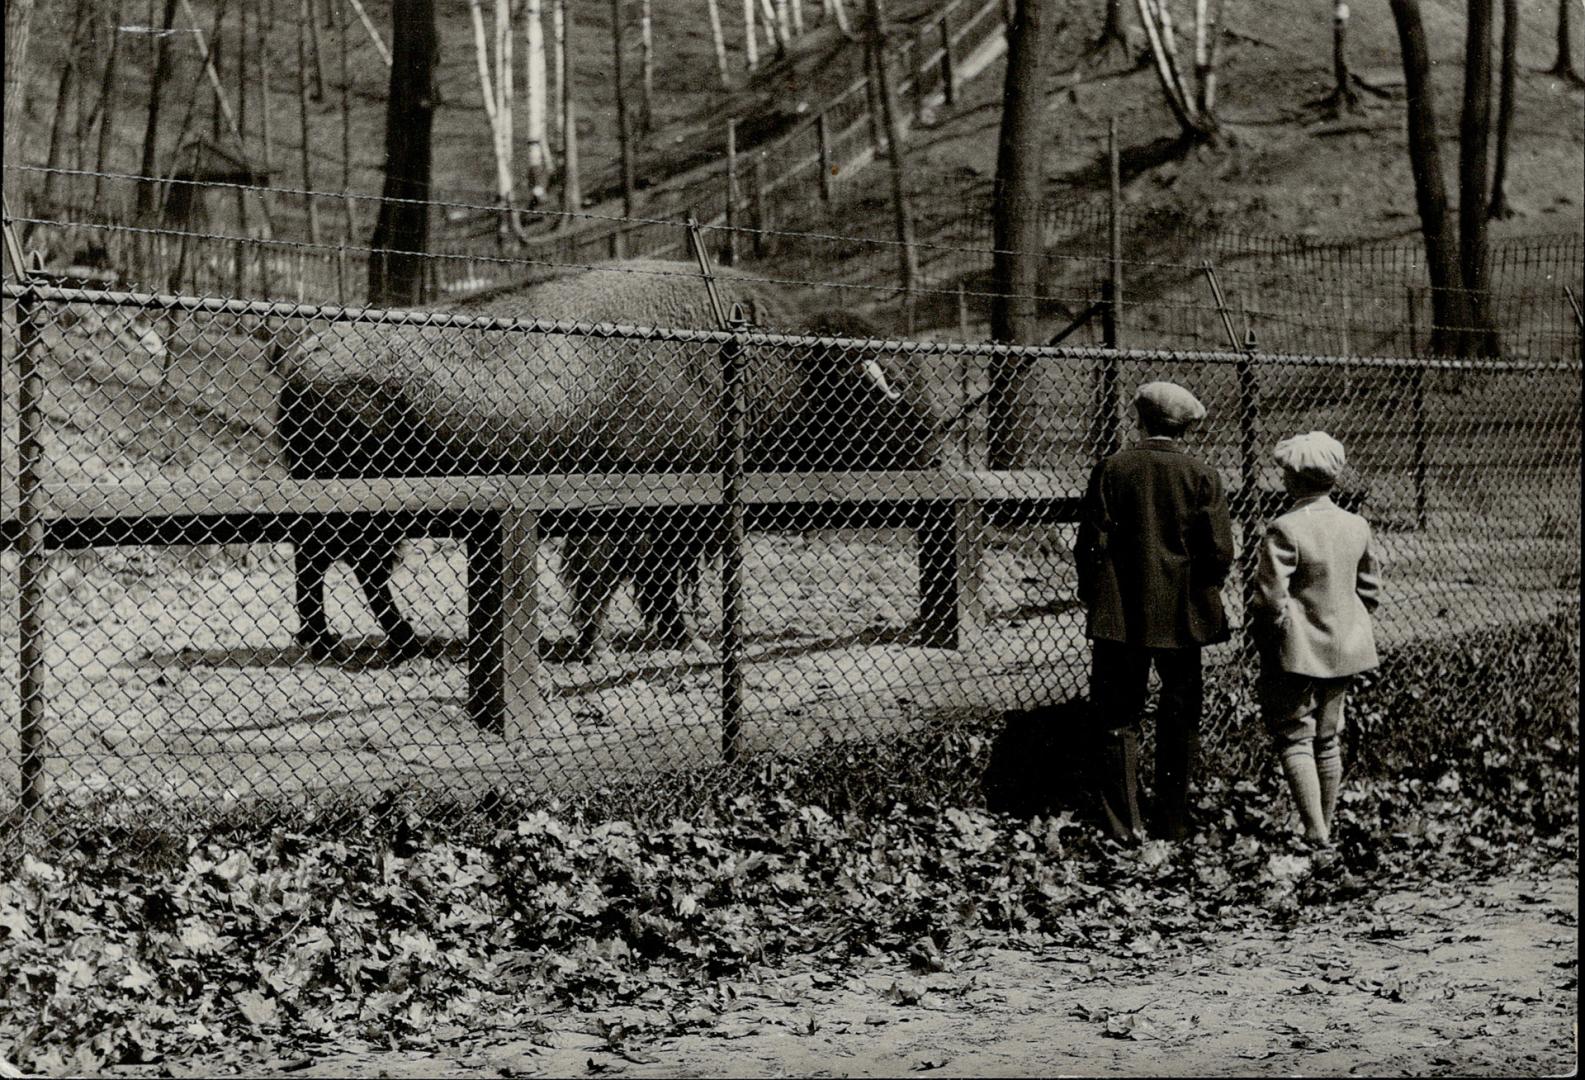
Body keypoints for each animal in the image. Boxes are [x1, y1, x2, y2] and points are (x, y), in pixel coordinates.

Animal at [275, 260, 938, 662]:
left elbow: (654, 580)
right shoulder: (627, 514)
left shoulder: (673, 522)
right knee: (333, 563)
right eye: (891, 408)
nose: (935, 465)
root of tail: (303, 351)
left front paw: (671, 637)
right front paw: (598, 646)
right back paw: (348, 643)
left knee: (339, 565)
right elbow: (612, 576)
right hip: (361, 507)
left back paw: (379, 640)